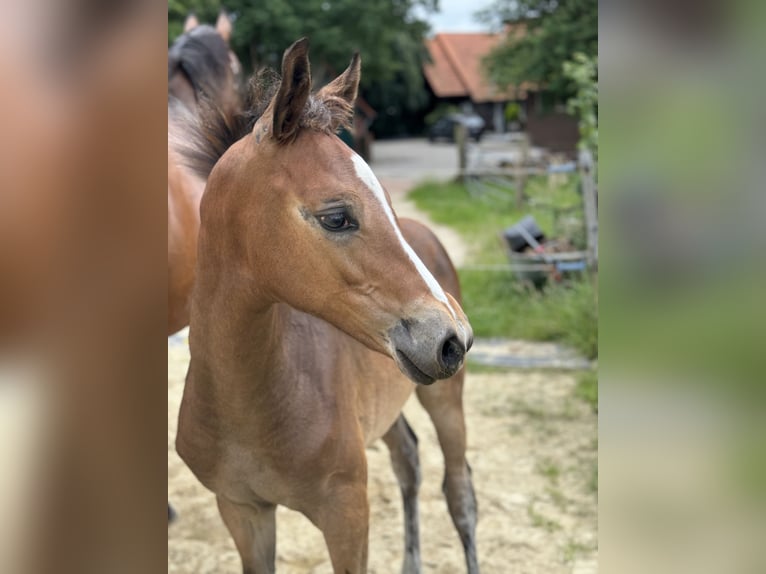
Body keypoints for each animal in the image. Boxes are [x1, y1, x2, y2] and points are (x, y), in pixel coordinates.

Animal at [177, 38, 484, 572]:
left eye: (388, 203)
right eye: (337, 217)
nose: (454, 338)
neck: (246, 403)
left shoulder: (346, 512)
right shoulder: (241, 509)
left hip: (446, 396)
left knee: (459, 491)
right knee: (408, 459)